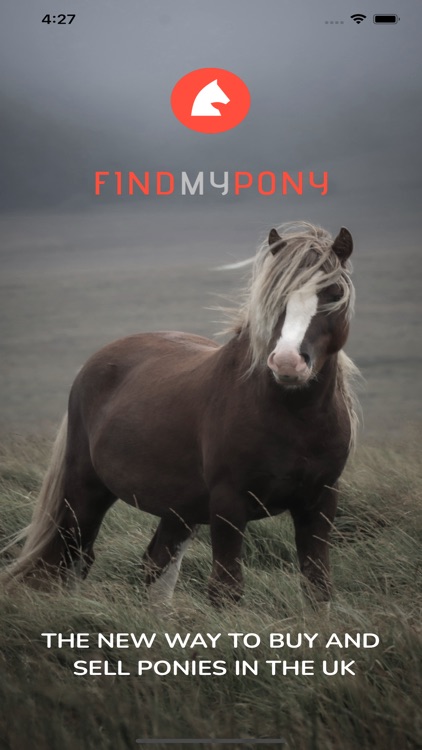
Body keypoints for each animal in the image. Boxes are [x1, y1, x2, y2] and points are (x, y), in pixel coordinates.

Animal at [3, 221, 359, 609]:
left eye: (333, 292)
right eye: (274, 296)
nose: (288, 362)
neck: (293, 419)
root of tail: (95, 362)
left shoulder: (320, 501)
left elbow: (317, 587)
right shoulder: (228, 504)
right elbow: (226, 589)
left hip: (180, 508)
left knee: (156, 565)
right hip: (86, 490)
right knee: (72, 557)